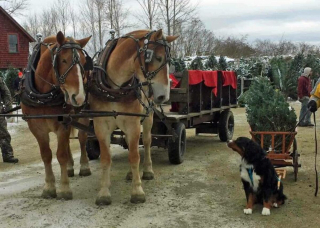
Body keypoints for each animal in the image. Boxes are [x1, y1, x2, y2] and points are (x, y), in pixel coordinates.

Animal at [20, 32, 91, 200]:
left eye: (84, 62)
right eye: (64, 60)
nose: (78, 97)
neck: (43, 96)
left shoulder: (62, 125)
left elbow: (61, 154)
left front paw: (64, 188)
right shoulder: (36, 128)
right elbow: (46, 155)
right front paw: (49, 187)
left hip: (83, 115)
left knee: (82, 138)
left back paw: (84, 166)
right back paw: (70, 168)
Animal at [89, 29, 179, 205]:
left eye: (169, 62)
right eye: (158, 58)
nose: (164, 96)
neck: (114, 90)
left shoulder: (133, 124)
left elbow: (134, 156)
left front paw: (137, 191)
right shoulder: (101, 125)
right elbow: (106, 158)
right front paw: (104, 192)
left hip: (148, 116)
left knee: (146, 141)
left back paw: (147, 170)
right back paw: (131, 174)